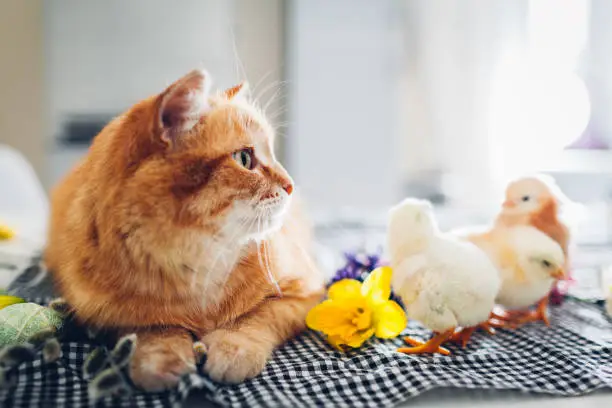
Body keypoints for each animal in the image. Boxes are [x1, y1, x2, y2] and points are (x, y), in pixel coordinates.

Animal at [46, 69, 326, 388]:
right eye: (244, 158)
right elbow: (150, 326)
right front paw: (163, 355)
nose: (291, 184)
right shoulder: (102, 315)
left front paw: (234, 346)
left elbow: (257, 318)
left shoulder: (305, 293)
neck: (200, 265)